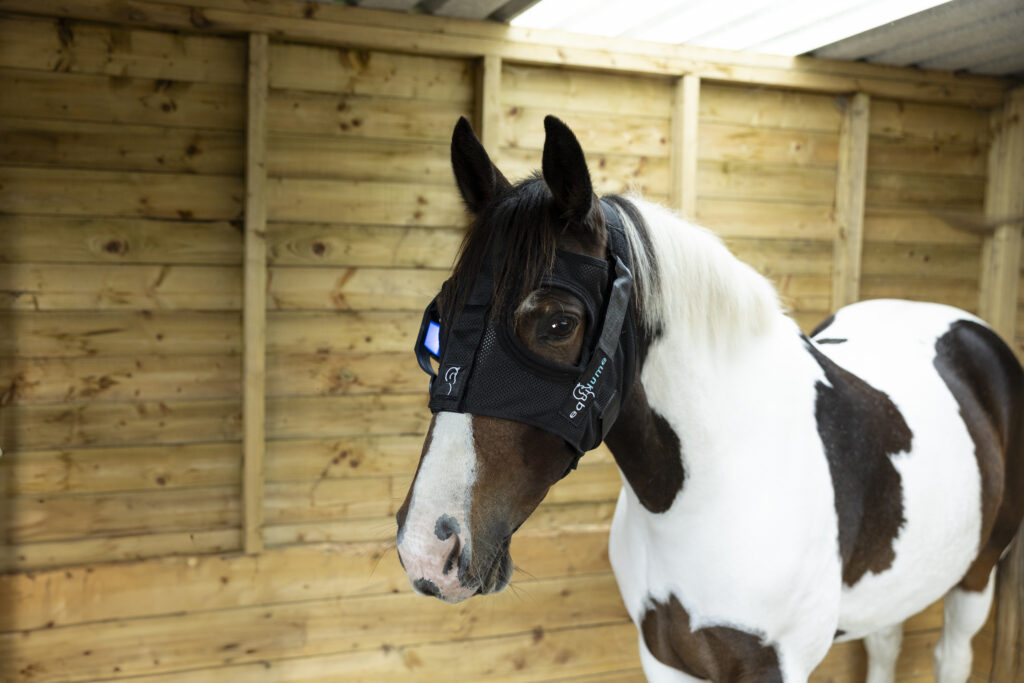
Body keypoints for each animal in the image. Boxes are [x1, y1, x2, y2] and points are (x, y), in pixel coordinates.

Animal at [393, 116, 1024, 683]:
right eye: (440, 322)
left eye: (557, 323)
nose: (427, 548)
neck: (712, 489)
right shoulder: (665, 656)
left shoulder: (774, 667)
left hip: (977, 578)